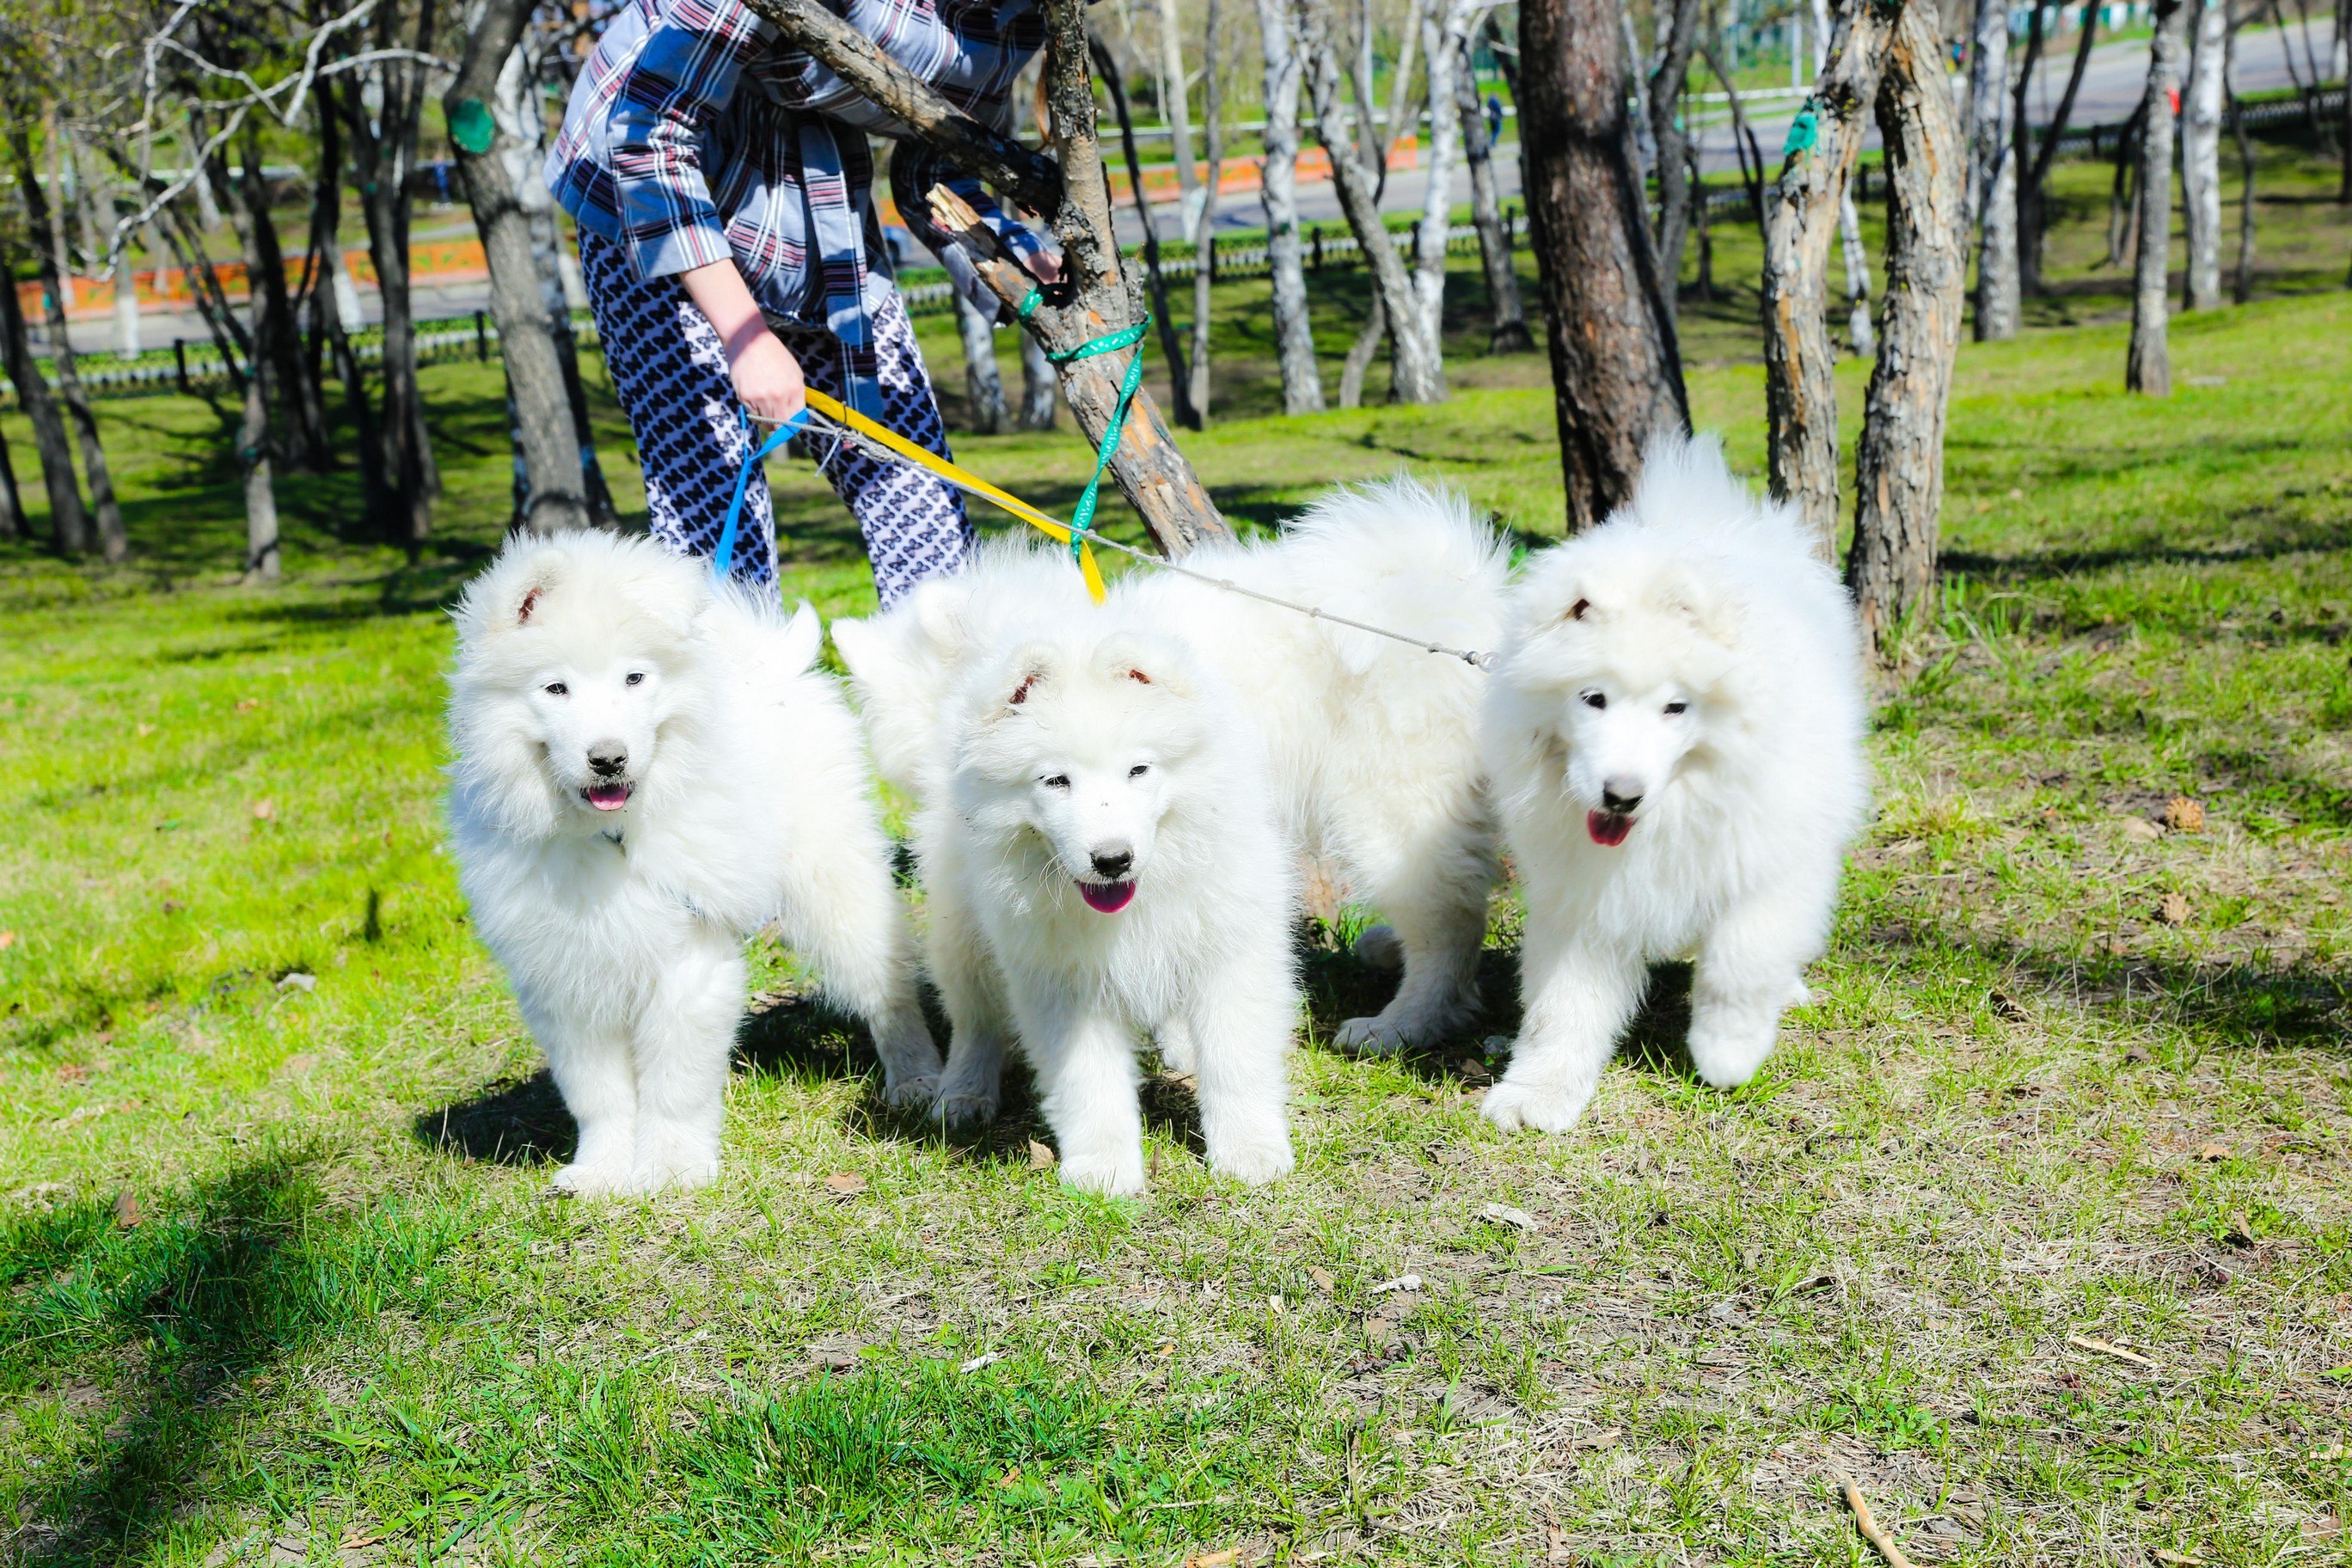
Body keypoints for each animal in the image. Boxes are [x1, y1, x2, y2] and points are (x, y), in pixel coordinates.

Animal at [446, 533, 935, 1194]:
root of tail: (769, 663)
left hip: (834, 879)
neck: (609, 835)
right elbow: (598, 1095)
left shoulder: (687, 960)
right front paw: (601, 1172)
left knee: (886, 986)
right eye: (556, 689)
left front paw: (669, 1170)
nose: (609, 758)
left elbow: (674, 1083)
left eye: (634, 678)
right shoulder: (565, 979)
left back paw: (916, 1078)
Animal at [917, 611, 1298, 1189]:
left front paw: (1249, 1152)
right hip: (961, 928)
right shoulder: (1063, 981)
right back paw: (963, 1093)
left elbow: (1236, 1057)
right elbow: (1088, 1080)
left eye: (1138, 771)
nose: (1112, 859)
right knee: (975, 1019)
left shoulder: (1231, 950)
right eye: (1055, 780)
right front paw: (1103, 1172)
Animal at [1477, 434, 1862, 1133]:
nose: (1621, 794)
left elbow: (1742, 960)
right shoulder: (1583, 896)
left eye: (1675, 709)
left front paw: (1726, 1052)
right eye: (1593, 699)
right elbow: (1561, 1006)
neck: (1670, 812)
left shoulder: (1769, 860)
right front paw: (1537, 1095)